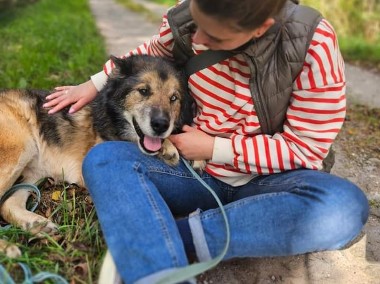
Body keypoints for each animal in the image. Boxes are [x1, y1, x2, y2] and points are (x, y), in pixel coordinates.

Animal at [0, 54, 196, 252]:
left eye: (174, 98)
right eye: (144, 91)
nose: (161, 125)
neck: (111, 115)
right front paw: (168, 146)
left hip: (33, 171)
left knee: (7, 204)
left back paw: (36, 225)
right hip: (20, 149)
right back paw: (7, 247)